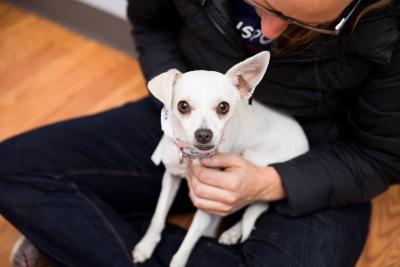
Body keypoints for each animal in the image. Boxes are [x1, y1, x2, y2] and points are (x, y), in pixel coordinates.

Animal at [133, 51, 308, 266]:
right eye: (183, 106)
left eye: (223, 107)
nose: (204, 134)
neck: (193, 156)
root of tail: (305, 140)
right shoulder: (171, 178)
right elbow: (158, 215)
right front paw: (146, 245)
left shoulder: (210, 200)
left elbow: (188, 241)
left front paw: (177, 261)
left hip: (253, 157)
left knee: (259, 203)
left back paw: (233, 232)